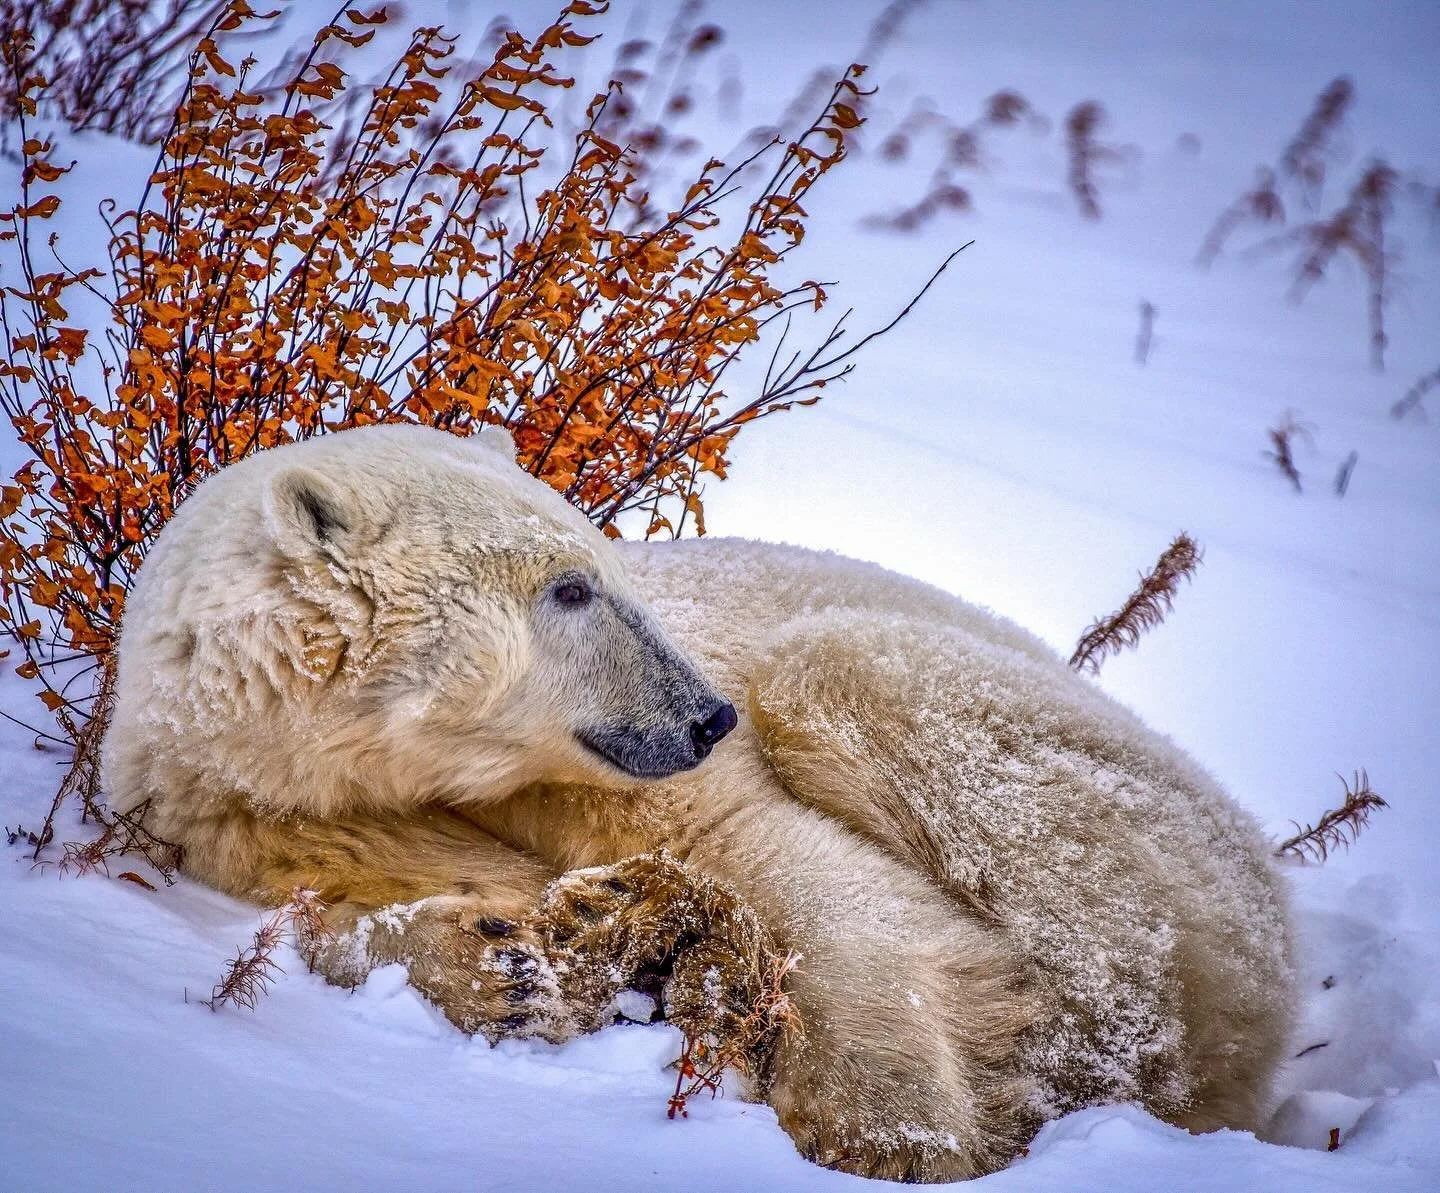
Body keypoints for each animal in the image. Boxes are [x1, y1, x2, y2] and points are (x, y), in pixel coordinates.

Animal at [102, 423, 1296, 1182]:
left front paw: (882, 1132)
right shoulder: (260, 810)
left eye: (611, 563)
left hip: (1146, 831)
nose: (708, 712)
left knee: (848, 675)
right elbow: (350, 906)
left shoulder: (620, 779)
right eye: (568, 588)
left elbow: (809, 874)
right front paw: (511, 962)